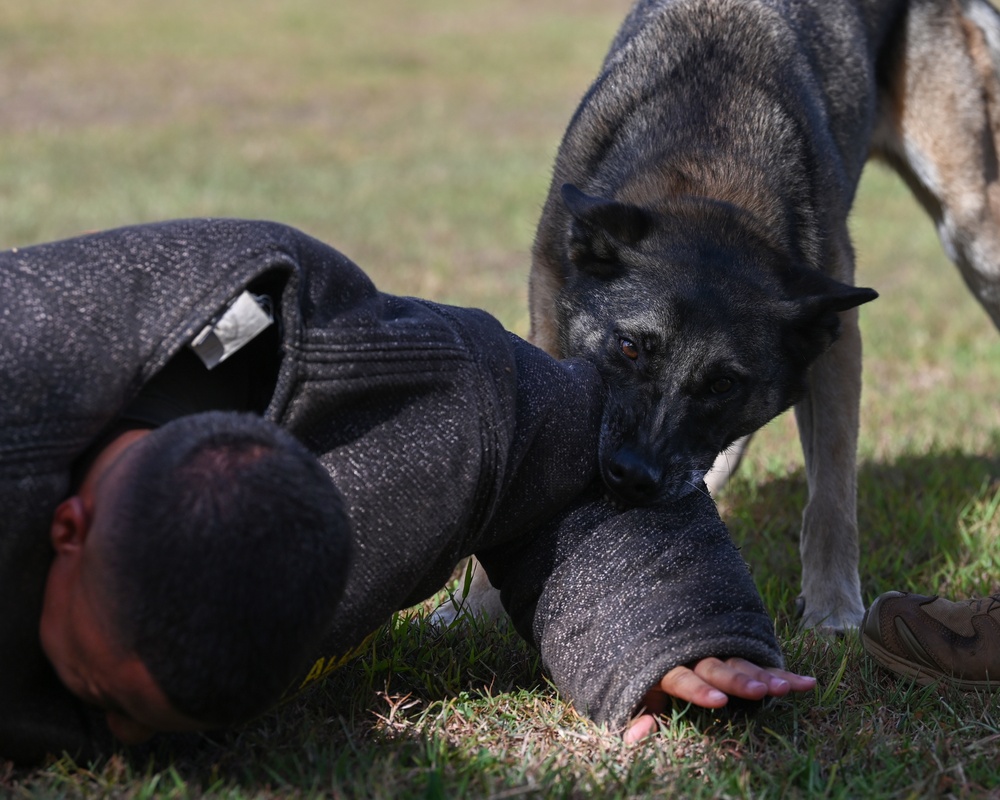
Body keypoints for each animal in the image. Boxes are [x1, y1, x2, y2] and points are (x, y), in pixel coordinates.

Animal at [442, 1, 1000, 636]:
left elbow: (831, 496)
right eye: (630, 348)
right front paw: (475, 610)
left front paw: (833, 611)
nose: (633, 477)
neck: (710, 168)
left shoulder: (837, 341)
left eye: (723, 384)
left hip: (974, 233)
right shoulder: (553, 331)